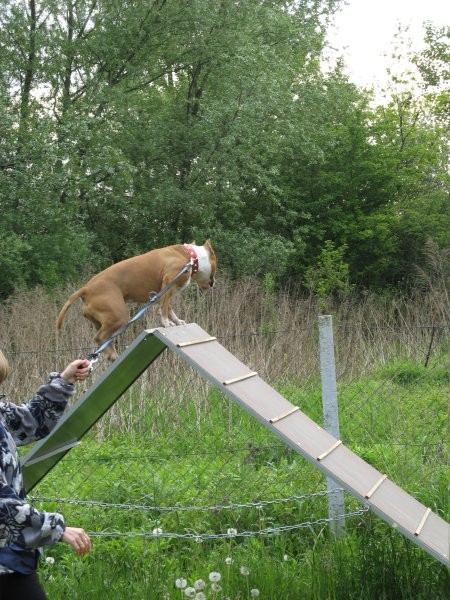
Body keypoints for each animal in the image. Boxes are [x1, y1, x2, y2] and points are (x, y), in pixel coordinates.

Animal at [56, 240, 216, 360]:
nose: (214, 283)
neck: (190, 256)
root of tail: (86, 289)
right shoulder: (168, 284)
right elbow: (164, 308)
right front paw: (166, 322)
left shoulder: (164, 292)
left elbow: (168, 308)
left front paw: (176, 321)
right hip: (118, 315)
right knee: (99, 337)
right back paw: (112, 354)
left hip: (104, 321)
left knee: (106, 338)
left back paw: (111, 354)